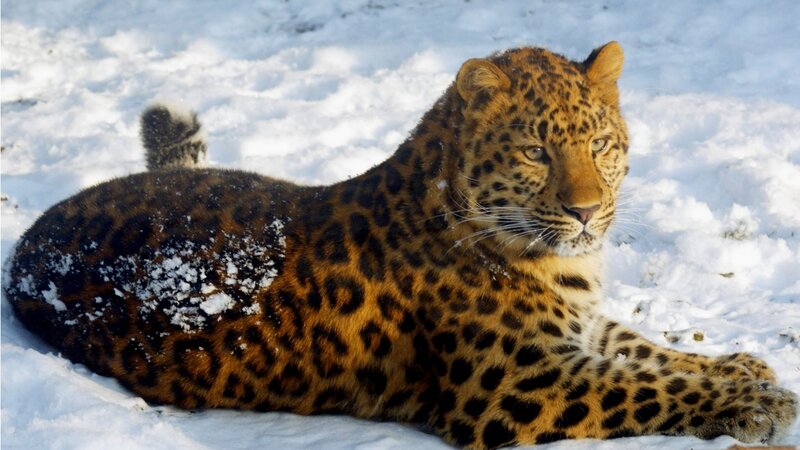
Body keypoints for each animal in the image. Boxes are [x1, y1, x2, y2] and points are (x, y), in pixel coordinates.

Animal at [4, 42, 797, 449]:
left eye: (601, 145)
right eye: (536, 151)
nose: (586, 212)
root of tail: (28, 245)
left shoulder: (576, 328)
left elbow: (644, 350)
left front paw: (744, 367)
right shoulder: (520, 388)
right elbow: (644, 386)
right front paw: (757, 403)